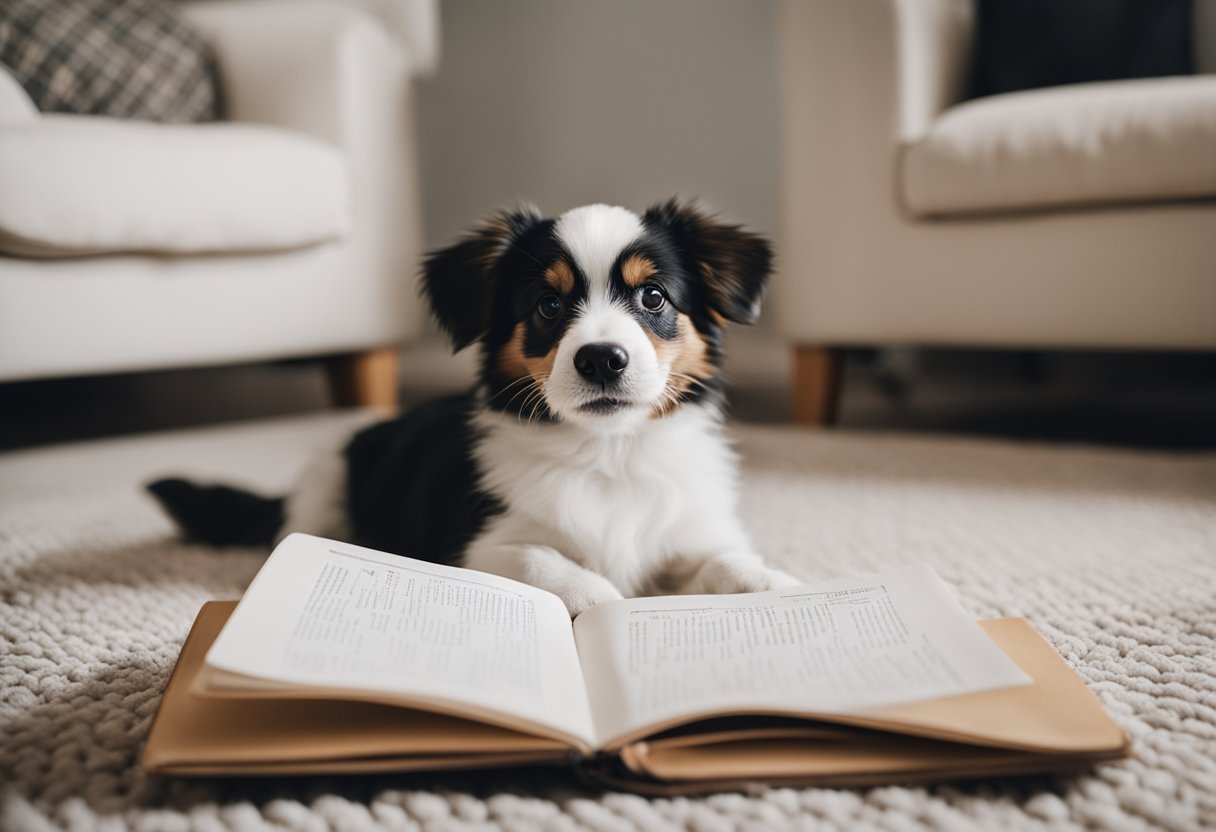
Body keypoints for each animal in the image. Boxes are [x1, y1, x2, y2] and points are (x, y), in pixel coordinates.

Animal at [149, 199, 797, 617]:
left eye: (654, 297)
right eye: (547, 305)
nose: (602, 360)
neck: (608, 453)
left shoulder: (693, 528)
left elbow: (727, 559)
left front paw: (776, 583)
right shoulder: (476, 545)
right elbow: (544, 561)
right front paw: (602, 605)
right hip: (330, 477)